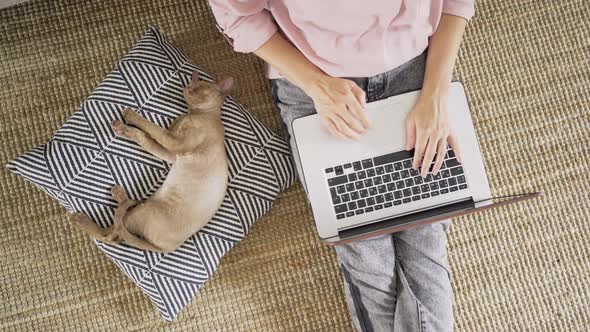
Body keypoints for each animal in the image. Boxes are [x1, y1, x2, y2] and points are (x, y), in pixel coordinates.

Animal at [69, 71, 234, 253]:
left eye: (201, 87)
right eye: (190, 85)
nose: (188, 90)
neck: (195, 113)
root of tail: (166, 249)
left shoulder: (175, 142)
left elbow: (151, 128)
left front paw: (130, 116)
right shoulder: (171, 153)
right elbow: (145, 137)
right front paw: (126, 131)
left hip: (141, 212)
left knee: (112, 235)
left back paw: (81, 219)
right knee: (117, 229)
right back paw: (120, 195)